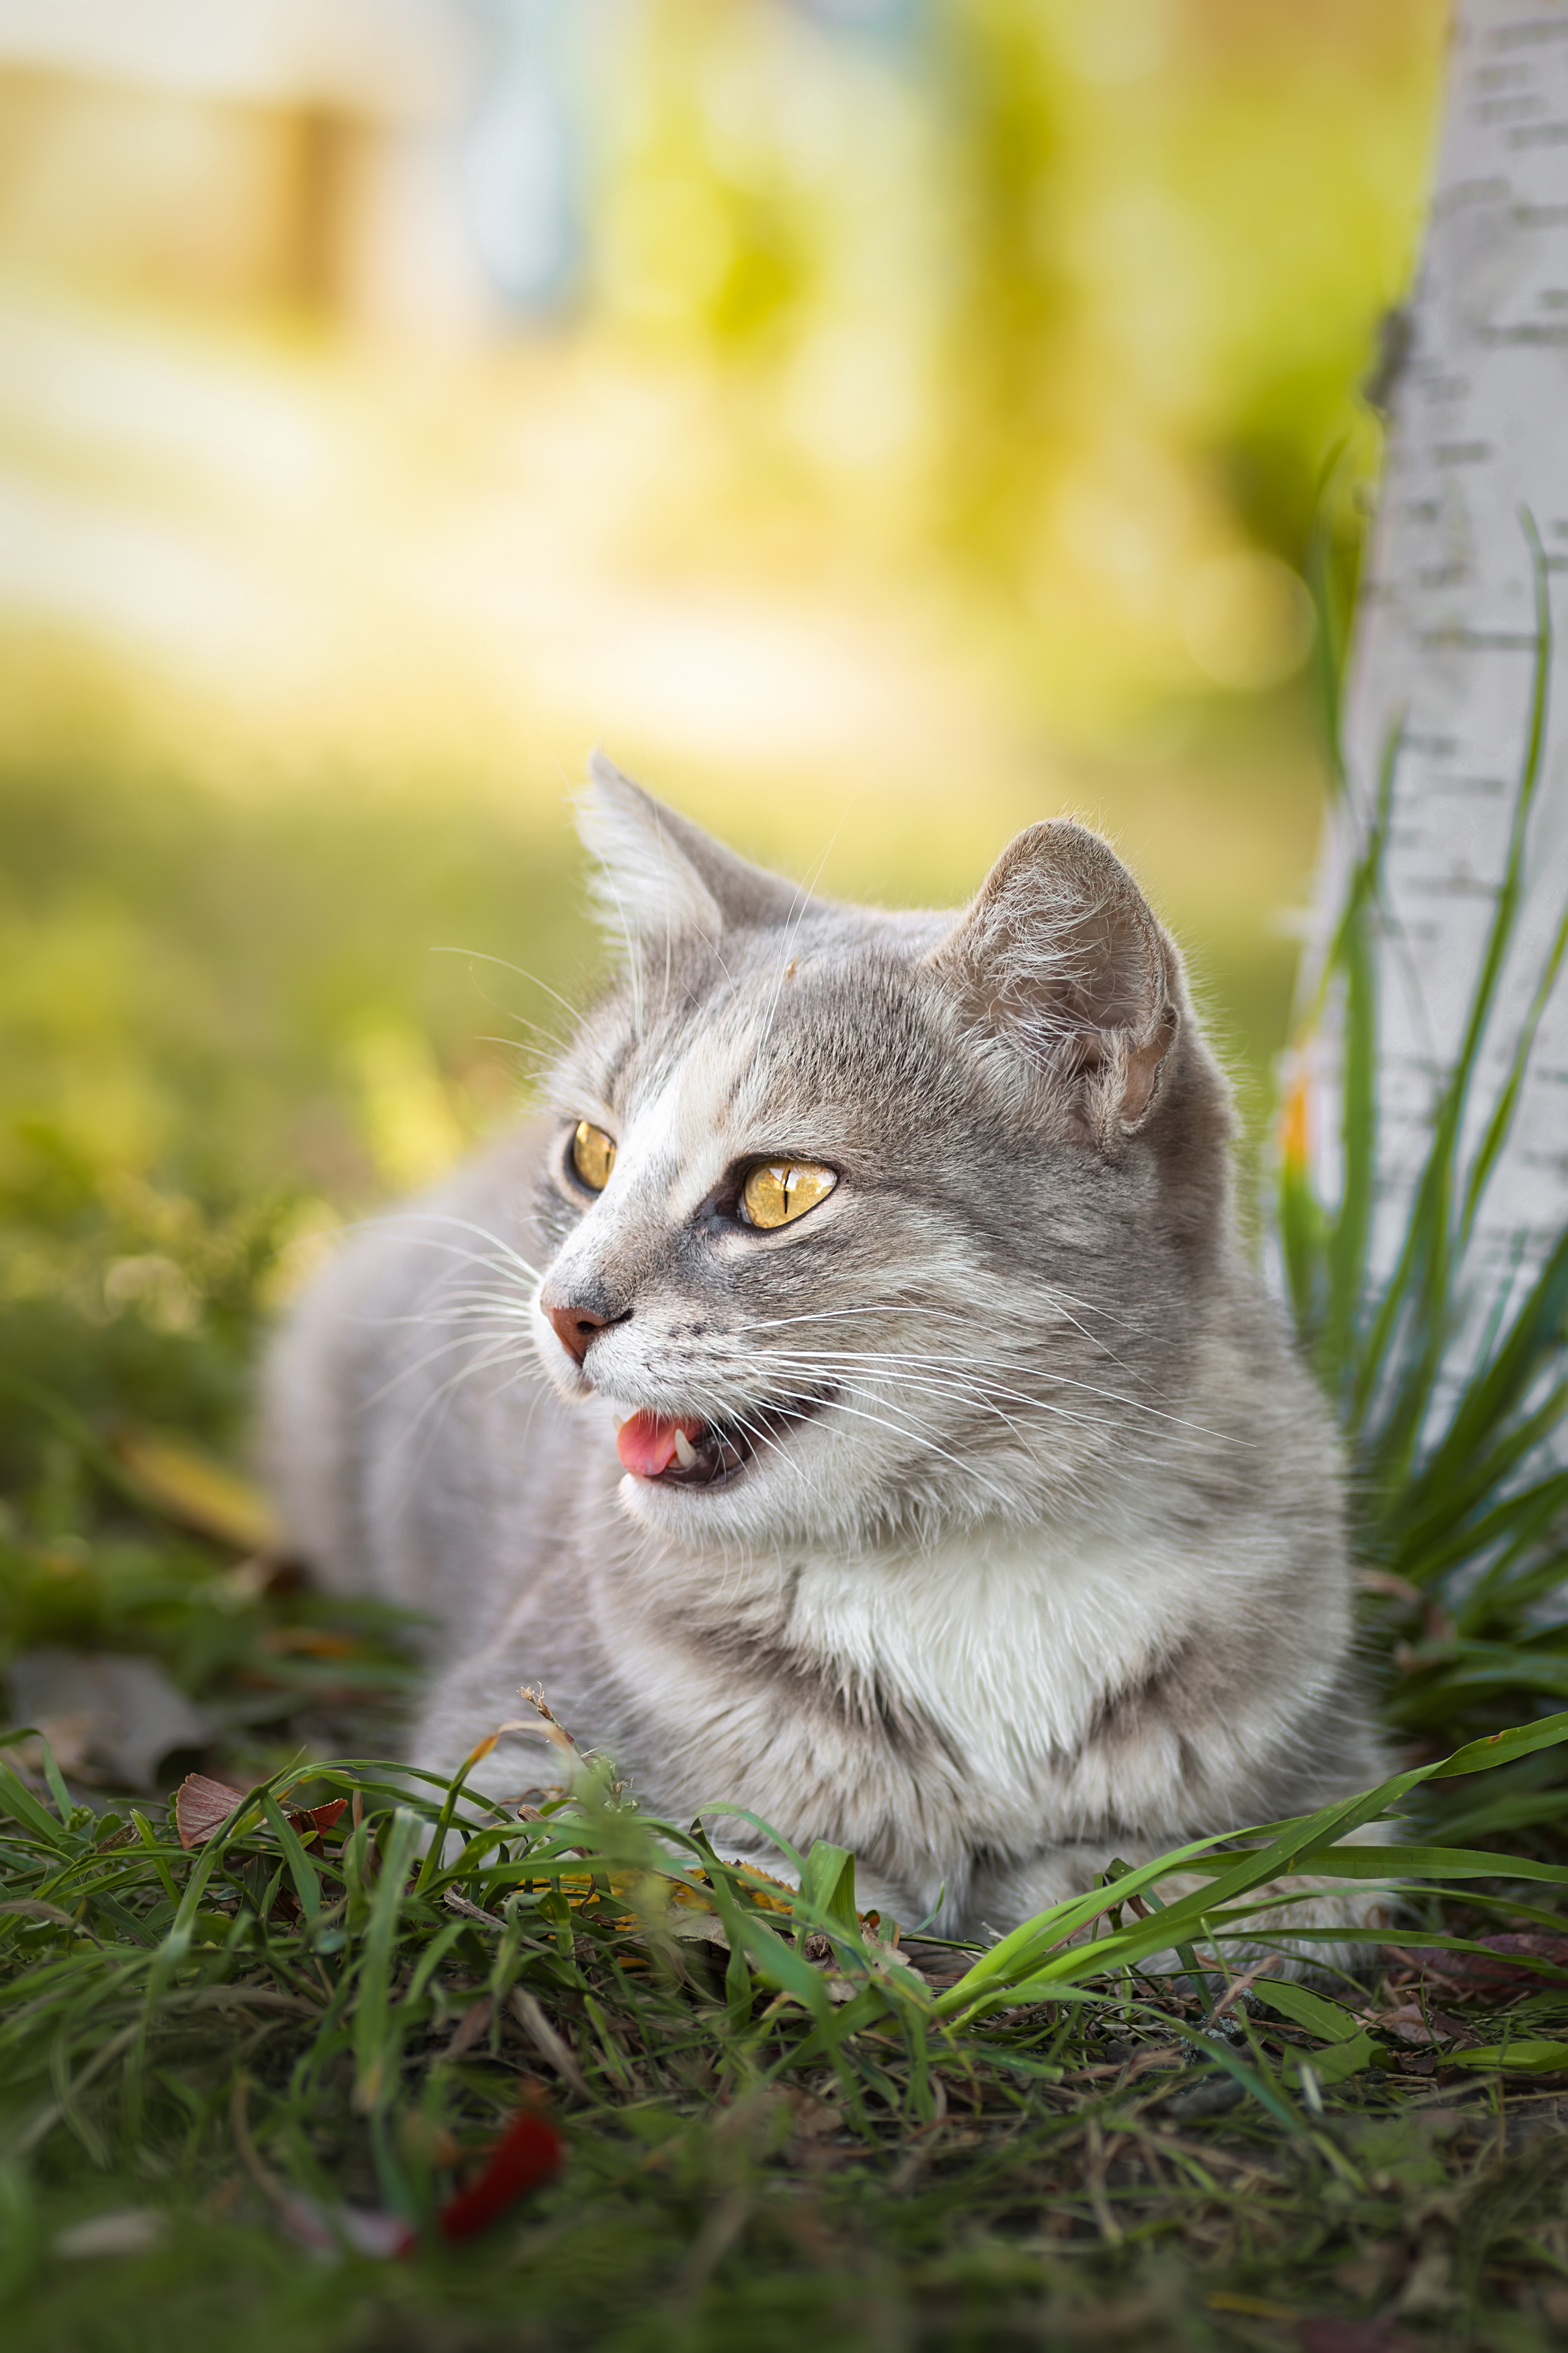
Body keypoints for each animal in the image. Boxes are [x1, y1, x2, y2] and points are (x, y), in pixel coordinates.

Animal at [263, 762, 1391, 1939]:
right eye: (591, 1156)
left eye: (780, 1191)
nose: (564, 1308)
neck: (964, 1562)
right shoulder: (503, 1755)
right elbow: (696, 1858)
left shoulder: (1334, 1809)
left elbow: (1201, 1883)